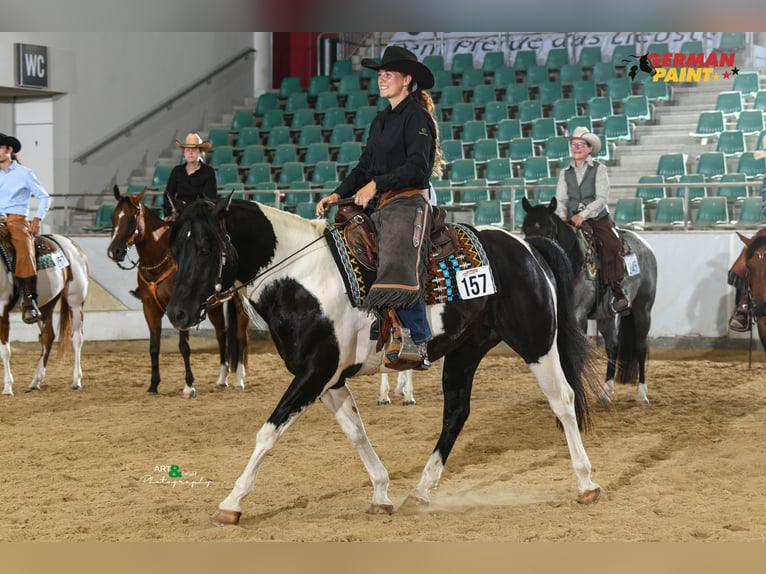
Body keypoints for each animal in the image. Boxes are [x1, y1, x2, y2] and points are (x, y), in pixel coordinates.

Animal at [1, 231, 89, 396]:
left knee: (77, 338)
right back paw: (36, 381)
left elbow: (5, 350)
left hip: (75, 300)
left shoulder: (2, 310)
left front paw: (8, 388)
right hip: (45, 304)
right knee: (48, 336)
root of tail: (71, 243)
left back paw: (76, 381)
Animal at [106, 186, 249, 397]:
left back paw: (239, 377)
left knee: (240, 333)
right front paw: (153, 385)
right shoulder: (150, 309)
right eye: (113, 216)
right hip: (213, 305)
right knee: (221, 332)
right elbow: (154, 347)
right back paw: (222, 378)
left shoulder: (182, 311)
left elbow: (184, 347)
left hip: (241, 301)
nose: (114, 251)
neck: (160, 262)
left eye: (132, 218)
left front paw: (189, 385)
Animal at [164, 197, 603, 525]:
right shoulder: (330, 380)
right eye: (174, 247)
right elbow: (356, 432)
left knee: (563, 401)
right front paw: (380, 492)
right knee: (456, 413)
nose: (177, 313)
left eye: (206, 247)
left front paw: (231, 502)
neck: (300, 278)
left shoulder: (313, 374)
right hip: (465, 350)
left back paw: (586, 484)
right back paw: (421, 492)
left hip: (537, 344)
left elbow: (268, 433)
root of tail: (525, 244)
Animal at [521, 197, 658, 405]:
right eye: (526, 229)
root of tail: (645, 246)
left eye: (549, 230)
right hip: (607, 315)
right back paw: (605, 391)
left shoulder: (579, 316)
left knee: (641, 346)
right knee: (613, 346)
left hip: (643, 308)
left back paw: (642, 393)